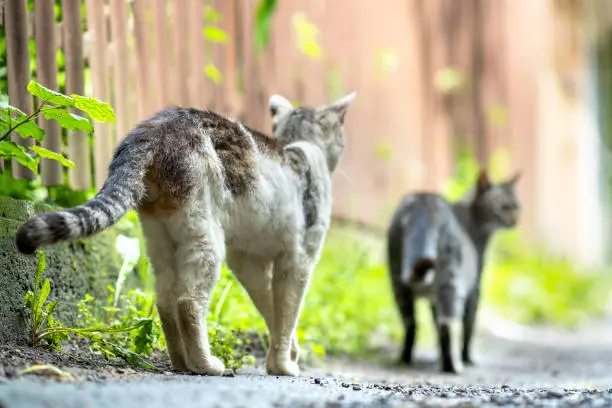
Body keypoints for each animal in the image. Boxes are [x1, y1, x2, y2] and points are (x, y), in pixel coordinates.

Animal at [14, 91, 356, 378]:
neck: (301, 147)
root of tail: (152, 128)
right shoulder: (298, 261)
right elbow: (287, 313)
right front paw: (283, 365)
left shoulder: (249, 262)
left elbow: (271, 309)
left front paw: (288, 353)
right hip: (205, 237)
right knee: (188, 303)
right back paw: (206, 365)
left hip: (161, 237)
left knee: (166, 301)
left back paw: (181, 362)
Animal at [388, 169, 520, 372]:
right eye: (504, 206)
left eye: (516, 206)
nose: (515, 220)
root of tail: (425, 200)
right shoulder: (475, 289)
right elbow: (469, 326)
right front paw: (468, 358)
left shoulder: (433, 301)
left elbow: (434, 324)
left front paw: (437, 356)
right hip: (451, 281)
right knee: (448, 325)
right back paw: (454, 365)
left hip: (398, 283)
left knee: (411, 324)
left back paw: (405, 359)